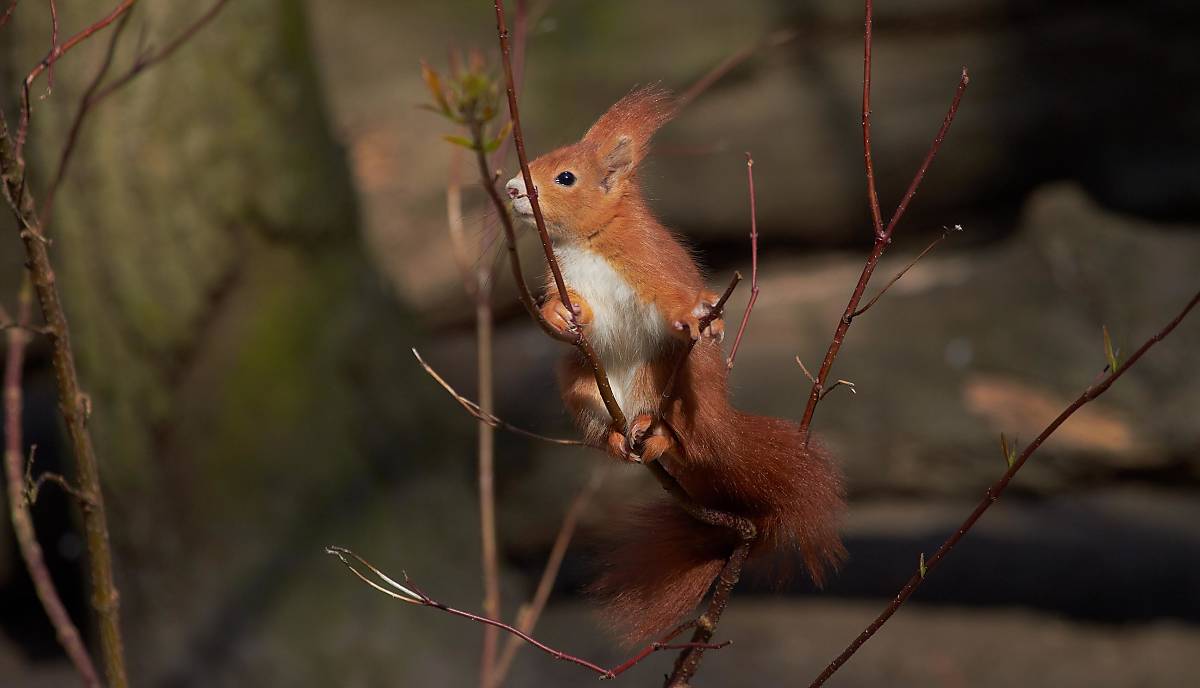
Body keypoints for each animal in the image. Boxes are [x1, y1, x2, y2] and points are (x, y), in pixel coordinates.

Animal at [504, 85, 844, 643]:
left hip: (677, 381)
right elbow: (567, 313)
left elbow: (673, 299)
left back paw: (662, 435)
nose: (511, 188)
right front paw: (560, 313)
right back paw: (617, 439)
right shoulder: (567, 281)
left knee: (686, 435)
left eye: (565, 177)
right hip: (580, 385)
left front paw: (698, 315)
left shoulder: (651, 264)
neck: (587, 242)